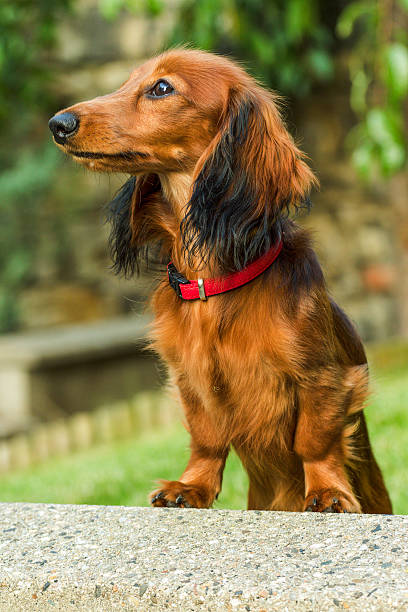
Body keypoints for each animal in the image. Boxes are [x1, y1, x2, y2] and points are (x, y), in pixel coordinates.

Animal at [49, 50, 394, 512]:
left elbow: (314, 440)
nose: (58, 123)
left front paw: (327, 492)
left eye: (162, 87)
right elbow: (207, 439)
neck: (211, 285)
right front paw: (190, 486)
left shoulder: (324, 376)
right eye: (126, 81)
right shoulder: (190, 378)